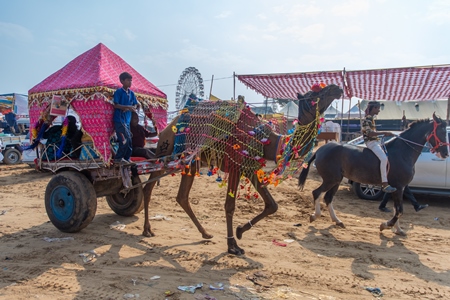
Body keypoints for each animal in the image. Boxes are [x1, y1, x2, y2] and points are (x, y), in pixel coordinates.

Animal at [142, 83, 342, 254]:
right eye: (313, 95)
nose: (337, 88)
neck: (267, 142)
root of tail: (166, 128)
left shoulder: (250, 168)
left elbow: (272, 205)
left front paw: (239, 231)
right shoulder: (236, 166)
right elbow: (230, 206)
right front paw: (232, 245)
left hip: (189, 162)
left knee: (182, 197)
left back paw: (205, 233)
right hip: (165, 153)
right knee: (148, 187)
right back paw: (147, 229)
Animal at [298, 113, 448, 236]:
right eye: (441, 131)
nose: (445, 153)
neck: (403, 152)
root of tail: (321, 150)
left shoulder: (399, 188)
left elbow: (397, 209)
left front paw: (398, 229)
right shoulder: (399, 187)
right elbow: (399, 210)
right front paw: (386, 225)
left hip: (336, 180)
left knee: (328, 198)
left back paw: (337, 221)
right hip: (331, 179)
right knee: (317, 193)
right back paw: (315, 216)